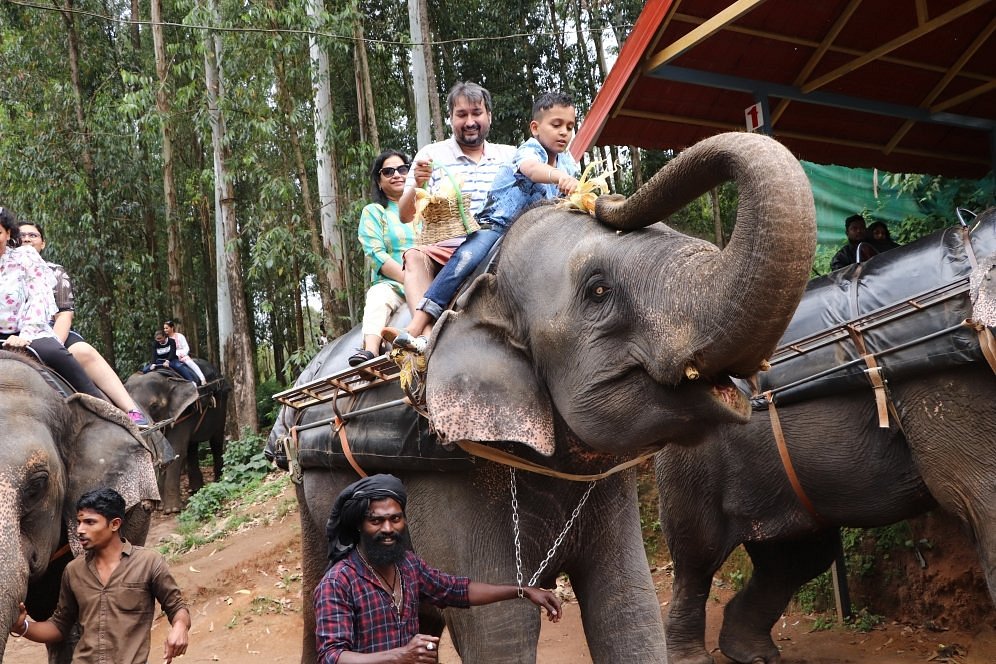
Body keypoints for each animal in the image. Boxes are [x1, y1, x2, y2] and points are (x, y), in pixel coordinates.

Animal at [268, 132, 812, 660]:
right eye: (598, 291)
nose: (601, 196)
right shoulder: (449, 480)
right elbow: (500, 625)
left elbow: (626, 606)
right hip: (310, 491)